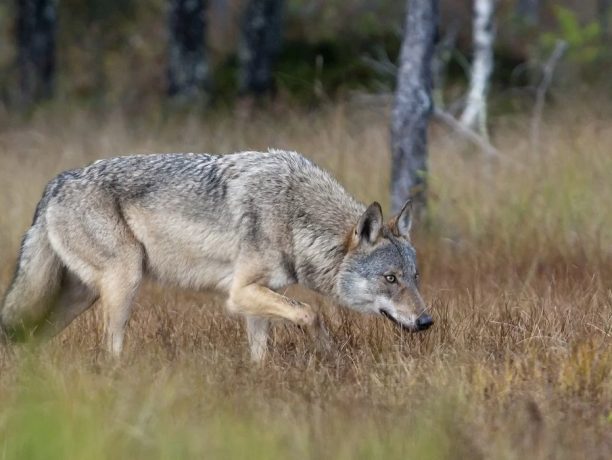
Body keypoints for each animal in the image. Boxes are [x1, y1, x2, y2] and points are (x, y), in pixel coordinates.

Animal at [0, 150, 432, 360]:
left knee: (32, 337)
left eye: (414, 277)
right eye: (390, 278)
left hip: (77, 298)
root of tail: (55, 183)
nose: (427, 321)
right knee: (109, 348)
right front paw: (330, 356)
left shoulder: (258, 298)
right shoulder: (239, 294)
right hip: (125, 280)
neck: (293, 214)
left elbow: (261, 352)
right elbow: (310, 313)